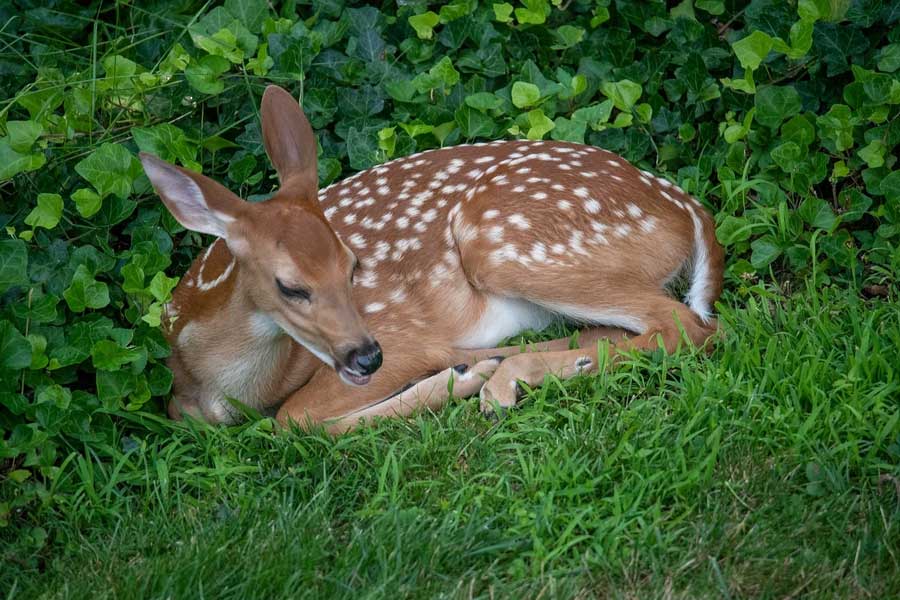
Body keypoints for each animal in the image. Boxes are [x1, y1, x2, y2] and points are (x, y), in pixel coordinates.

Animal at [141, 84, 728, 432]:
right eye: (290, 285)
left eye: (353, 266)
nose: (366, 357)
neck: (226, 383)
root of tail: (686, 207)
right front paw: (469, 371)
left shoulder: (402, 339)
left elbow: (294, 417)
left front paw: (459, 377)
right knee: (623, 330)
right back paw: (509, 371)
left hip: (503, 245)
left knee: (688, 325)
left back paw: (499, 379)